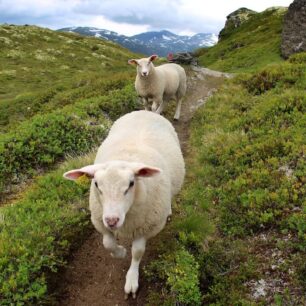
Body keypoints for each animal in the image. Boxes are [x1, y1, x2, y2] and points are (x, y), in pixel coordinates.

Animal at [63, 110, 185, 298]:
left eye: (131, 183)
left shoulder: (146, 228)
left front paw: (132, 279)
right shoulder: (100, 221)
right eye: (96, 184)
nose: (112, 220)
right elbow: (108, 244)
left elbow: (137, 252)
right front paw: (120, 253)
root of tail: (145, 111)